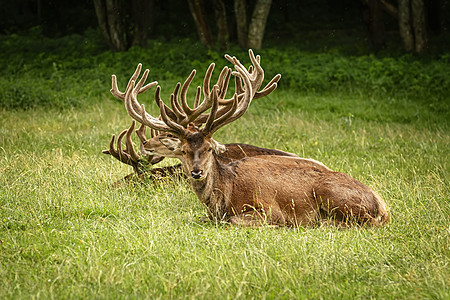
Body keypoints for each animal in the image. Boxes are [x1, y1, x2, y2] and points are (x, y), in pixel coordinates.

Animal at [119, 50, 390, 226]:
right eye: (184, 150)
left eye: (209, 148)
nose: (197, 172)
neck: (225, 196)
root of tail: (382, 205)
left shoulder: (269, 209)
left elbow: (234, 222)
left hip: (333, 194)